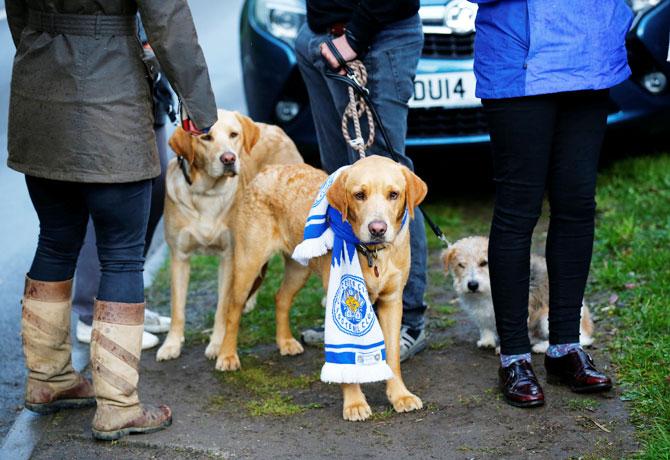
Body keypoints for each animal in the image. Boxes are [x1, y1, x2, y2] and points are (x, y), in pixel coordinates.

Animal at [156, 109, 304, 362]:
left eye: (234, 135)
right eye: (206, 137)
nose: (228, 158)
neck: (206, 193)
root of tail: (272, 127)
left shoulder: (229, 256)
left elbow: (222, 307)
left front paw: (217, 344)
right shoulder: (179, 256)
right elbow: (177, 308)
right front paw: (171, 344)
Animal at [218, 156, 428, 422]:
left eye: (394, 194)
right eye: (359, 195)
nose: (377, 229)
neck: (373, 254)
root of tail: (270, 169)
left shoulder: (392, 301)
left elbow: (392, 357)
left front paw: (400, 396)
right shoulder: (337, 293)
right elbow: (345, 362)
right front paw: (354, 403)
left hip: (299, 268)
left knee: (281, 297)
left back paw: (285, 341)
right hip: (248, 264)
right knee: (233, 309)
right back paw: (227, 356)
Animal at [444, 235, 596, 354]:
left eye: (483, 263)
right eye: (461, 265)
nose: (472, 285)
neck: (487, 290)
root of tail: (586, 327)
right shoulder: (479, 312)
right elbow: (485, 326)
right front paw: (487, 341)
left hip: (546, 317)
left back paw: (541, 347)